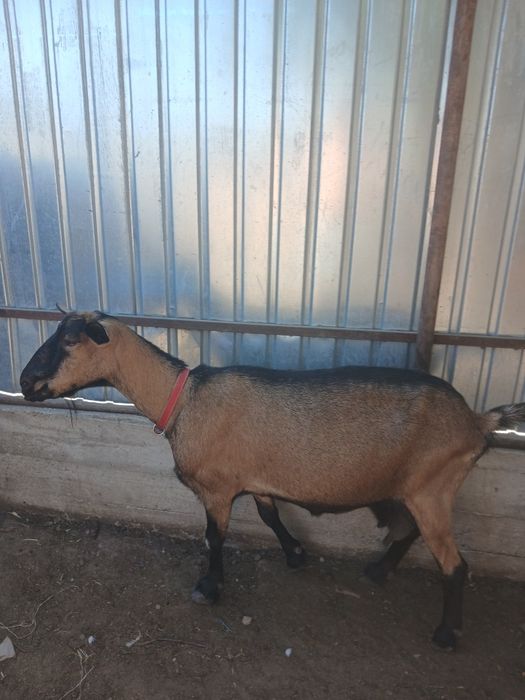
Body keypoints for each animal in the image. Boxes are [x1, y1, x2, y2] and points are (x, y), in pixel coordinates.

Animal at [19, 311, 525, 650]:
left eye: (69, 340)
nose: (24, 383)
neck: (184, 399)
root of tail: (477, 421)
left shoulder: (217, 489)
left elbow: (214, 537)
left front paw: (209, 587)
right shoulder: (254, 479)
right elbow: (269, 514)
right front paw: (296, 554)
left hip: (433, 486)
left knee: (454, 564)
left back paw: (446, 633)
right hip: (410, 487)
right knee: (408, 529)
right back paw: (379, 571)